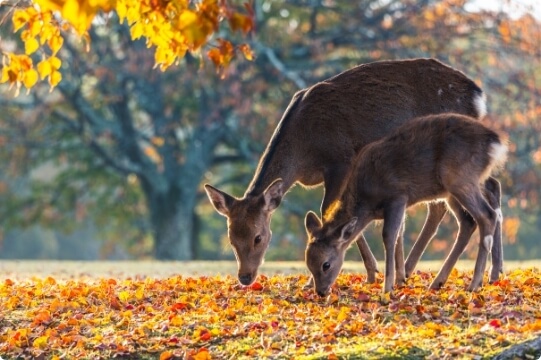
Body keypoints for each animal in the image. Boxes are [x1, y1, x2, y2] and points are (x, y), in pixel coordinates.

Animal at [306, 113, 508, 296]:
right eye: (308, 263)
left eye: (326, 264)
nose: (321, 292)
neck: (367, 202)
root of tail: (495, 143)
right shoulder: (400, 204)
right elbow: (399, 235)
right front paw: (400, 280)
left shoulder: (397, 196)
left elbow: (389, 236)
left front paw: (387, 289)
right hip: (452, 189)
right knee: (469, 221)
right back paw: (439, 282)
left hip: (460, 178)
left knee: (487, 215)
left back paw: (475, 284)